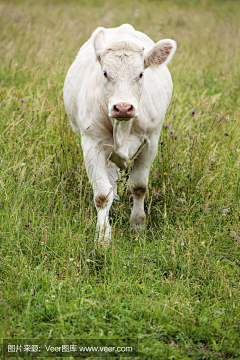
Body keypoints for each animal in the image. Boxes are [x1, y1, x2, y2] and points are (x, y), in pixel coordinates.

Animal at [63, 23, 176, 243]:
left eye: (141, 74)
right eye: (105, 73)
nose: (123, 107)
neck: (123, 126)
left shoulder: (150, 142)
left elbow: (139, 187)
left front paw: (138, 225)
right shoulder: (92, 144)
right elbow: (101, 195)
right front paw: (103, 236)